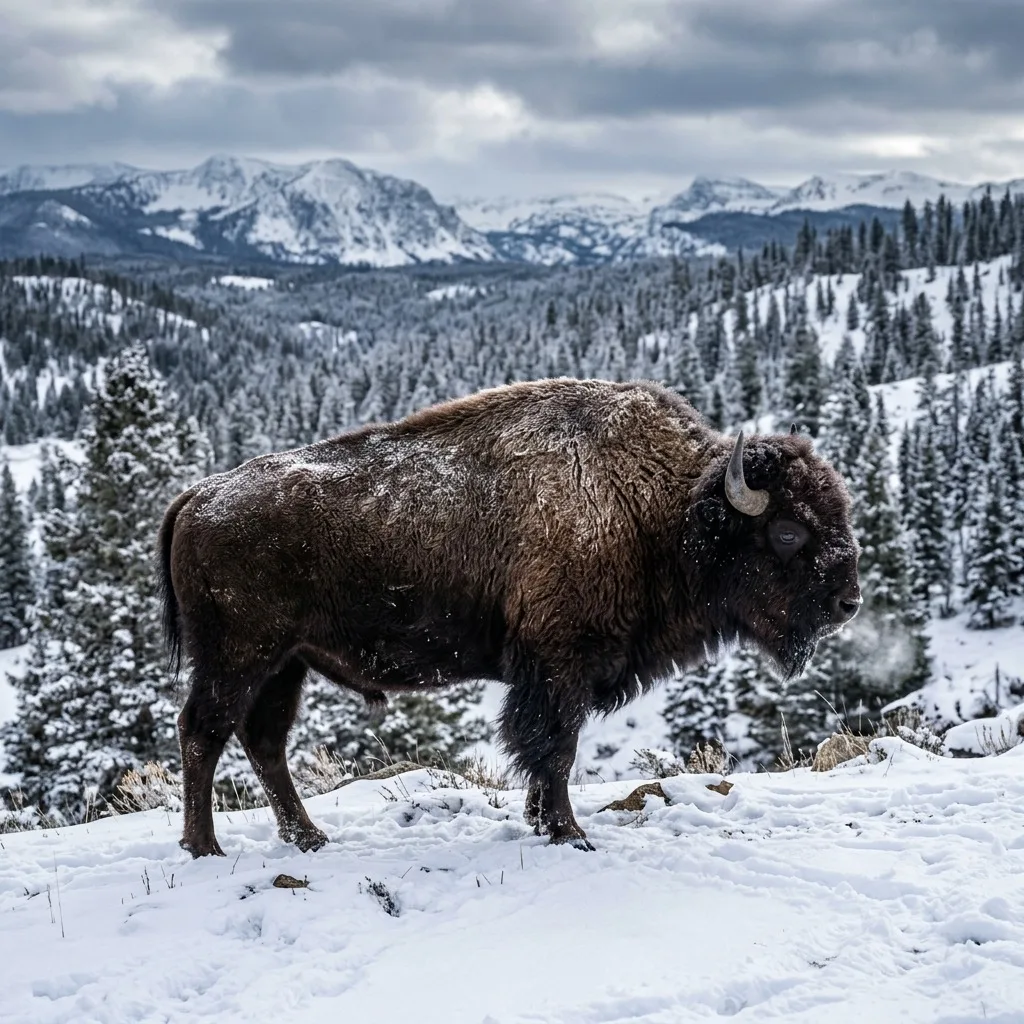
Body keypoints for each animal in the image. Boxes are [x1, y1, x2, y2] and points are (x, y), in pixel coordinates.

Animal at [159, 378, 860, 857]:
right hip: (239, 656)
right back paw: (206, 847)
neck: (667, 506)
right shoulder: (558, 665)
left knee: (262, 741)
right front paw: (569, 833)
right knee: (202, 732)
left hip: (286, 664)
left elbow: (548, 753)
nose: (847, 603)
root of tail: (198, 494)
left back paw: (307, 837)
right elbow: (554, 748)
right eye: (789, 532)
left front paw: (544, 823)